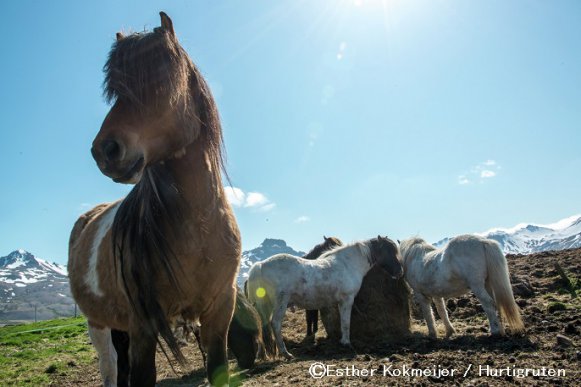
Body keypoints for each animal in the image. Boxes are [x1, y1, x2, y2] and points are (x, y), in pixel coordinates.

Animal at [68, 12, 240, 387]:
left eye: (164, 79)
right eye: (117, 90)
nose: (105, 150)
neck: (198, 229)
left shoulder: (220, 311)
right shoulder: (144, 326)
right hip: (99, 324)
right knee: (110, 368)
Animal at [247, 236, 402, 360]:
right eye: (389, 251)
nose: (400, 272)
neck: (348, 264)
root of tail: (260, 265)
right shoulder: (347, 300)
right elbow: (346, 322)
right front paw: (346, 342)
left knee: (261, 326)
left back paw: (262, 355)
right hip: (280, 303)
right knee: (275, 324)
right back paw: (286, 353)